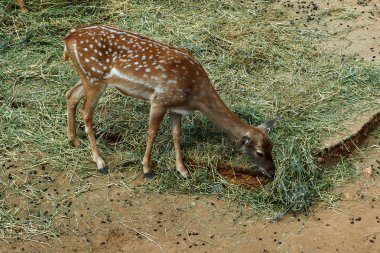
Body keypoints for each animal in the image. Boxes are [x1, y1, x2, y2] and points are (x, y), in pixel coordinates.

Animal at [62, 25, 276, 178]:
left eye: (271, 147)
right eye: (259, 152)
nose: (272, 172)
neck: (195, 94)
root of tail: (68, 39)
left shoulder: (176, 108)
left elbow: (176, 134)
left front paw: (183, 170)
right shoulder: (160, 100)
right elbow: (153, 132)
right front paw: (147, 169)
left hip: (88, 77)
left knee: (70, 94)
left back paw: (74, 140)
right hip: (95, 78)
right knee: (86, 112)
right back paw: (100, 163)